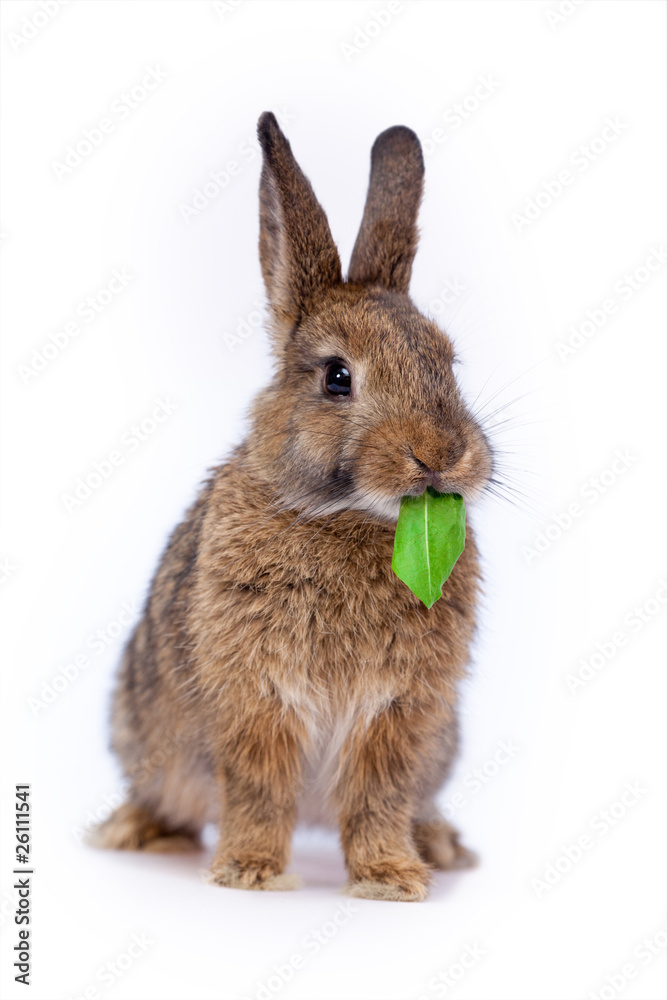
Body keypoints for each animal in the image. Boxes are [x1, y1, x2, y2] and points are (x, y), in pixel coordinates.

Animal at [91, 112, 494, 902]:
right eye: (338, 378)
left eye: (447, 361)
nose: (442, 454)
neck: (349, 517)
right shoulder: (256, 698)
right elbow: (259, 789)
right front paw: (250, 872)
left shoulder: (400, 712)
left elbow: (378, 798)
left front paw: (389, 879)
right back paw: (134, 830)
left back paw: (440, 845)